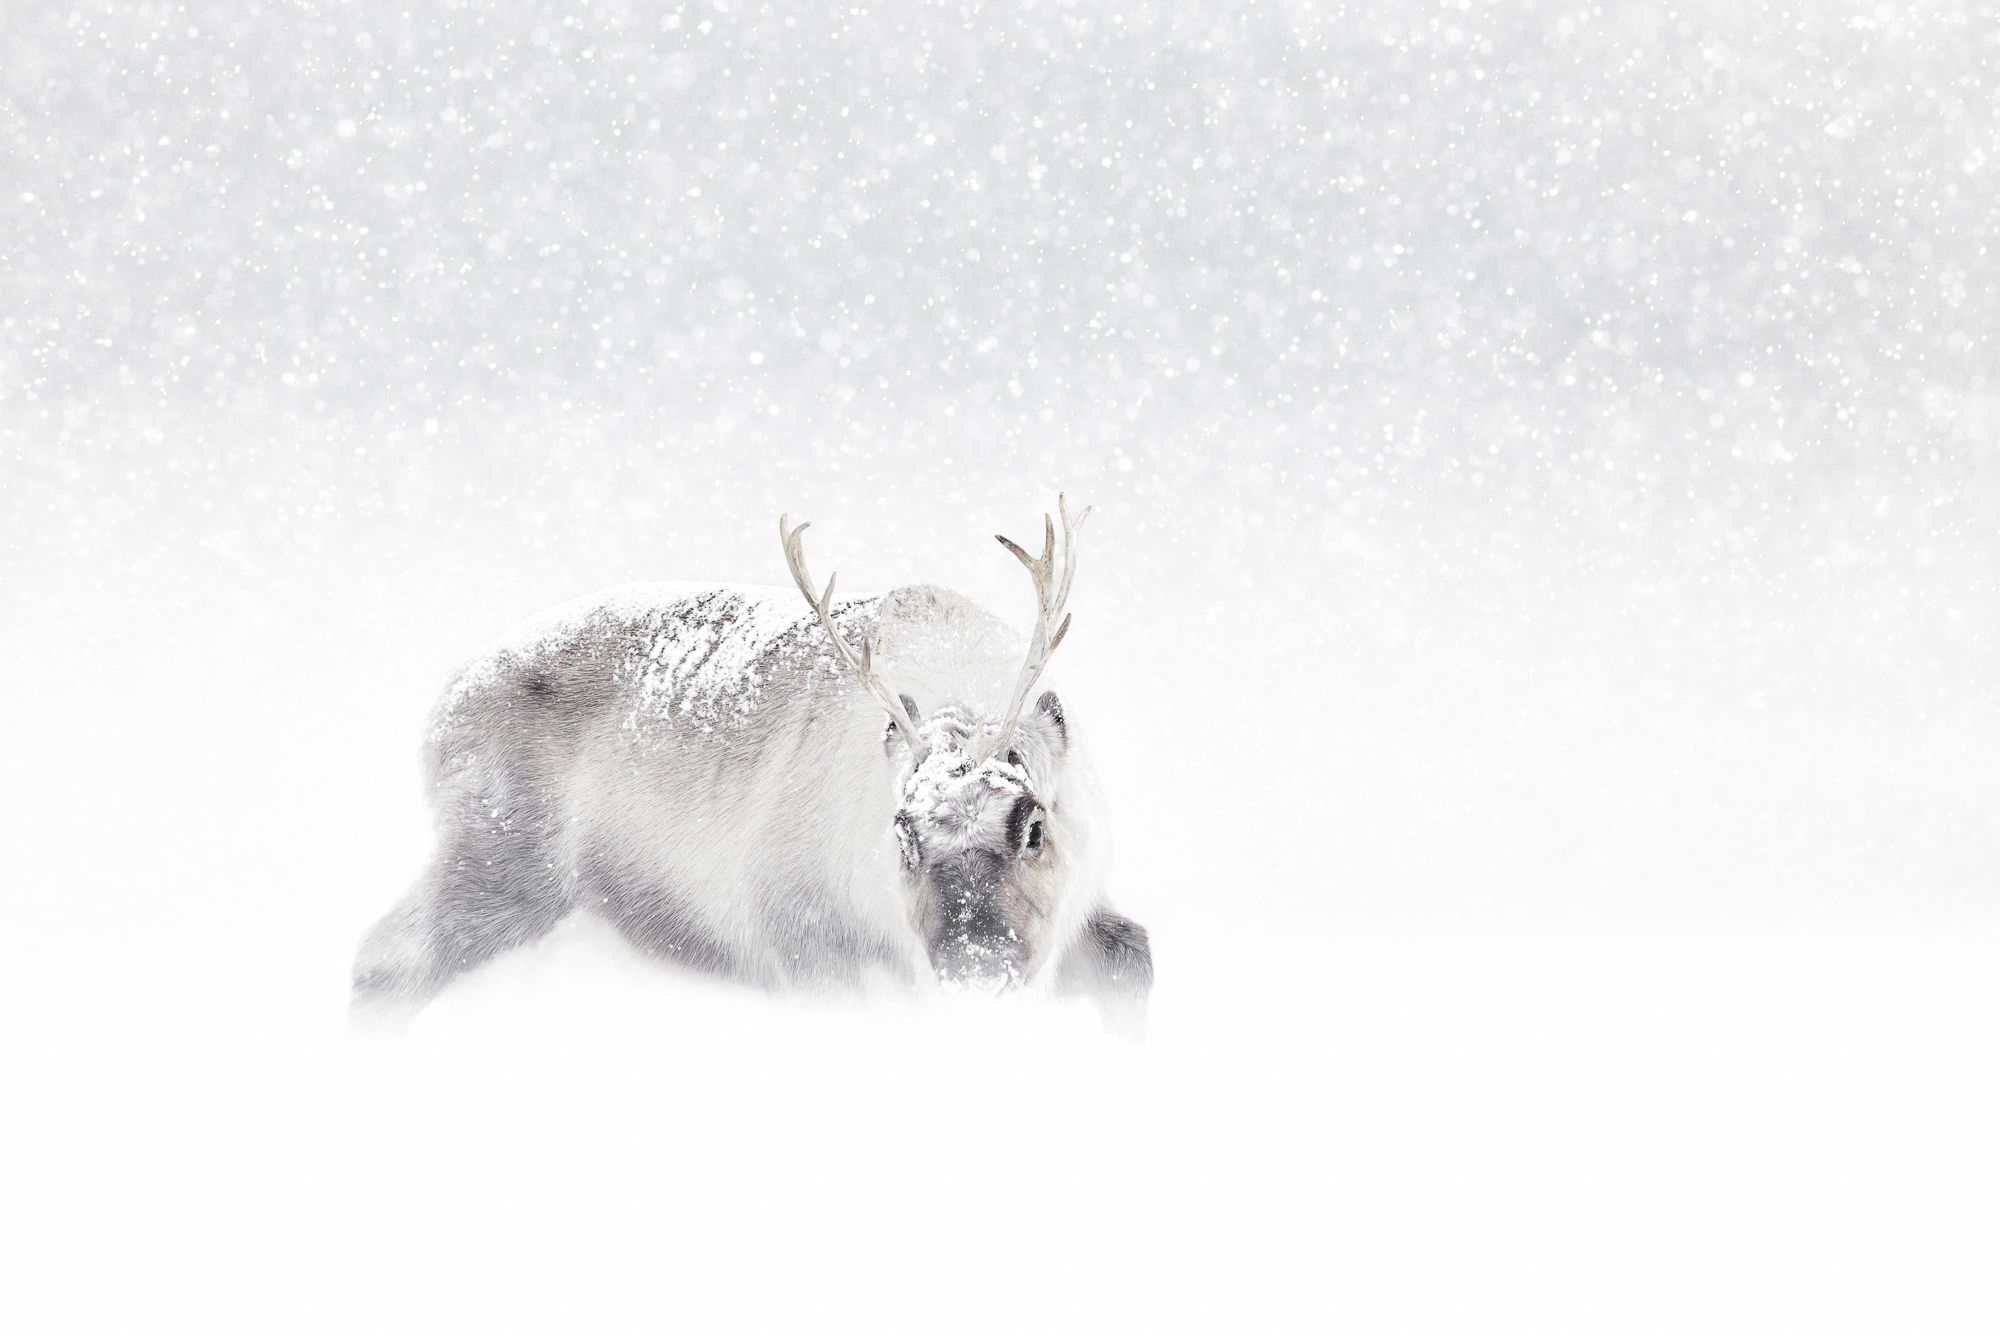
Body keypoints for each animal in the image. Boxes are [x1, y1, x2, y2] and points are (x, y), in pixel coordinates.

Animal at [351, 497, 1151, 1028]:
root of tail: (442, 709)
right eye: (903, 836)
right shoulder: (808, 948)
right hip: (502, 867)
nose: (975, 964)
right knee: (386, 963)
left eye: (1034, 825)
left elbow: (1133, 958)